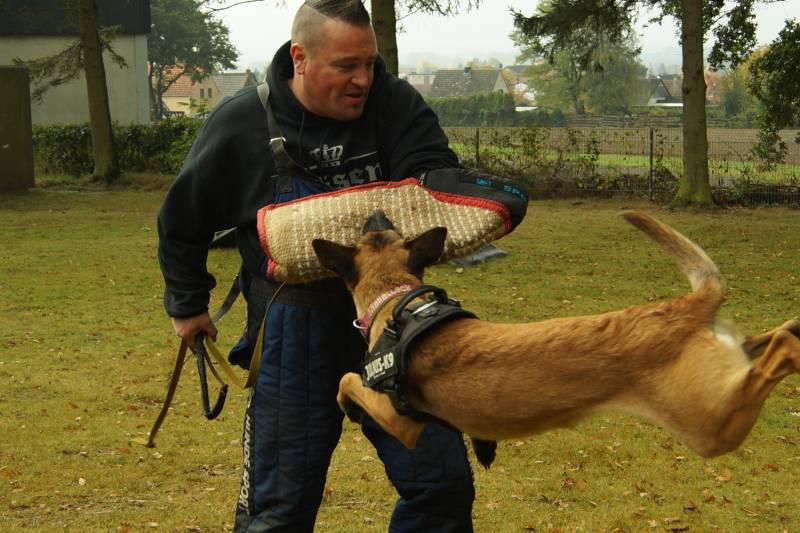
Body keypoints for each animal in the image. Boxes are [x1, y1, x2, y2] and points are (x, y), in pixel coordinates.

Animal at [311, 210, 800, 463]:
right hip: (719, 381)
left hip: (708, 426)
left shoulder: (401, 422)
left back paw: (790, 343)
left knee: (779, 353)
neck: (396, 298)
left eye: (376, 227)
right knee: (762, 342)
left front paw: (347, 405)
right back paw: (793, 325)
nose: (375, 210)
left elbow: (347, 380)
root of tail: (682, 308)